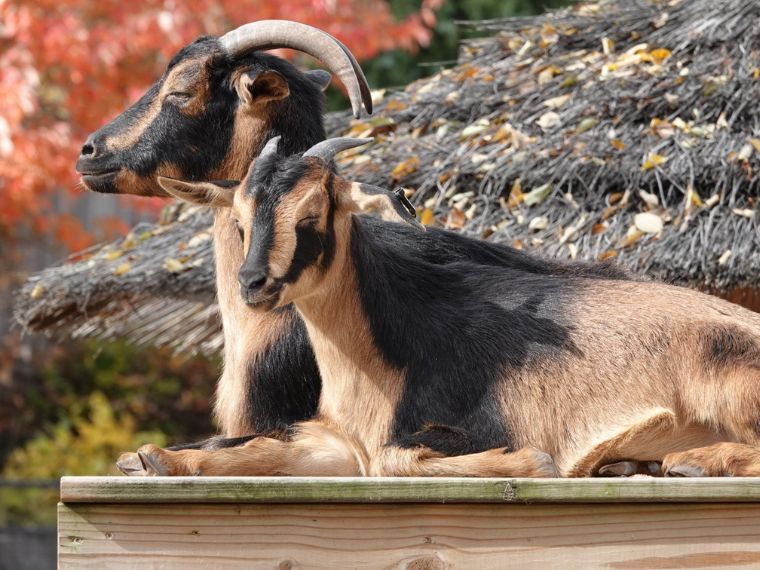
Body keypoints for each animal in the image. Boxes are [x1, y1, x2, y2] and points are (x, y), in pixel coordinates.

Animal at [133, 136, 760, 478]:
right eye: (240, 220)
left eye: (313, 212)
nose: (253, 283)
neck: (392, 350)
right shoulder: (338, 440)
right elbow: (267, 444)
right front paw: (154, 458)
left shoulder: (478, 426)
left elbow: (394, 458)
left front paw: (533, 464)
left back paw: (690, 461)